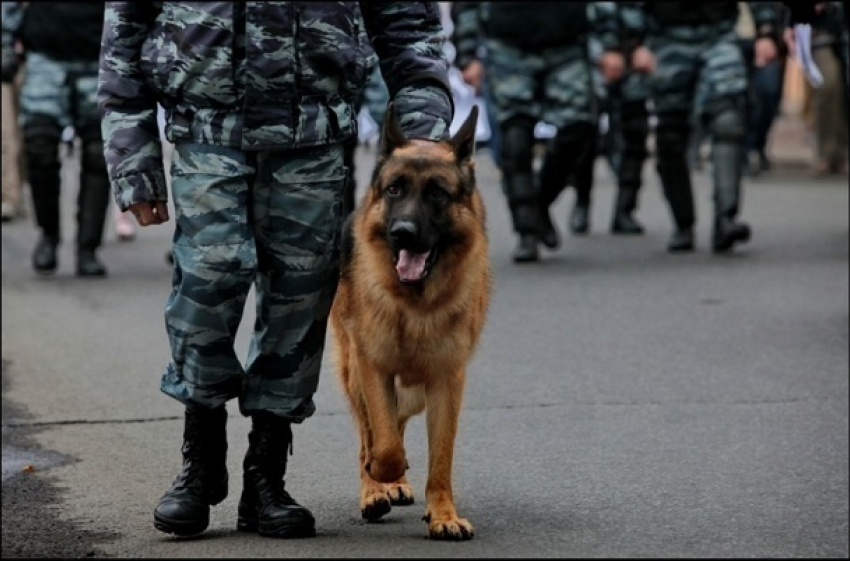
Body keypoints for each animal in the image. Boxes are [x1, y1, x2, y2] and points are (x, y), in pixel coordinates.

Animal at [332, 104, 490, 540]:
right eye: (394, 190)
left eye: (437, 192)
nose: (402, 233)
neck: (414, 305)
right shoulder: (373, 367)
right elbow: (383, 444)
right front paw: (380, 476)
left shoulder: (446, 381)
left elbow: (441, 457)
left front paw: (444, 515)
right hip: (355, 372)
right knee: (371, 432)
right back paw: (375, 489)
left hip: (415, 389)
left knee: (398, 418)